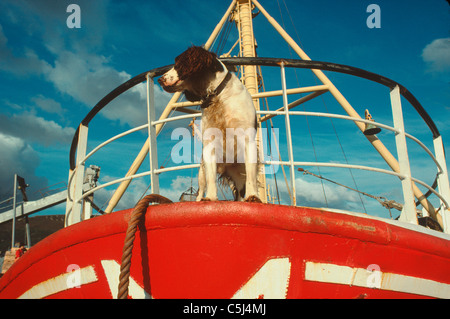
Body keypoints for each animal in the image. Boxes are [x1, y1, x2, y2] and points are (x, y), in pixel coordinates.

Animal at [157, 45, 260, 202]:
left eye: (178, 64)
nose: (160, 79)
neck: (217, 95)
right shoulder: (209, 144)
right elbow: (210, 179)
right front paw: (210, 198)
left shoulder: (248, 140)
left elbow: (251, 176)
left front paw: (253, 195)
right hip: (202, 170)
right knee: (201, 187)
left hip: (238, 172)